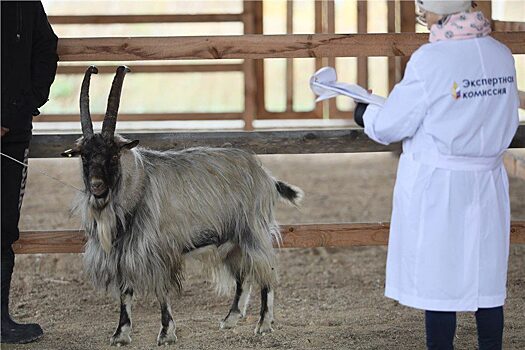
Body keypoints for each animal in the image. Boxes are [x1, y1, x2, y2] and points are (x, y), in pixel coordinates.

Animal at [60, 67, 302, 346]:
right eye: (85, 156)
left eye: (113, 155)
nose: (97, 186)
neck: (139, 185)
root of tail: (266, 176)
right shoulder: (125, 254)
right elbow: (125, 291)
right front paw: (121, 333)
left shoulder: (158, 251)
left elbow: (161, 291)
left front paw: (166, 333)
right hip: (233, 239)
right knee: (243, 275)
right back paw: (231, 318)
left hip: (253, 231)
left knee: (266, 272)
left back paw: (263, 323)